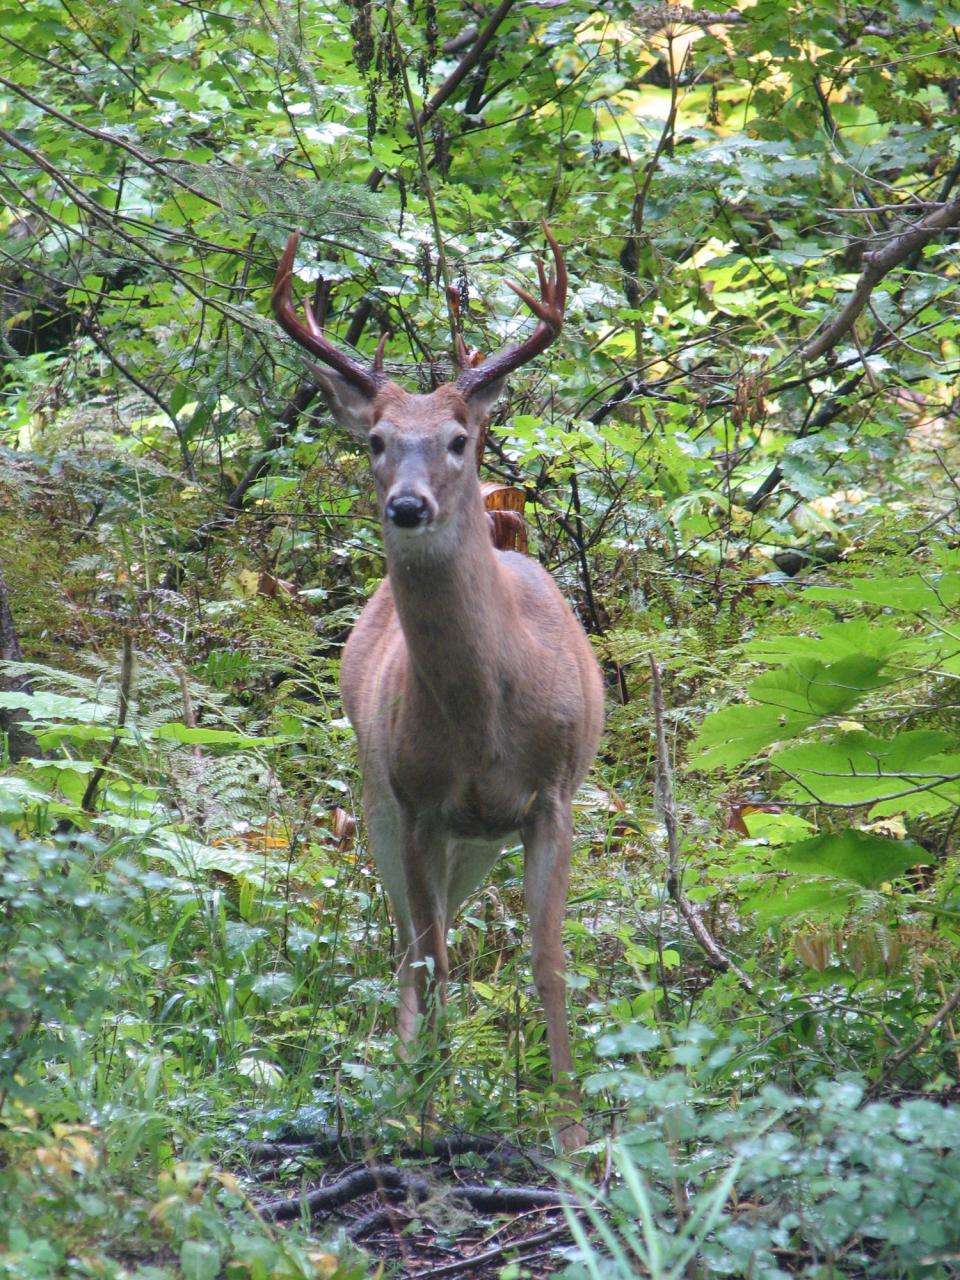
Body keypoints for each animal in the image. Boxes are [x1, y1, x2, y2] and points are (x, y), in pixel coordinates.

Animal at [272, 222, 601, 1152]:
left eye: (459, 438)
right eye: (376, 440)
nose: (409, 506)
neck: (484, 720)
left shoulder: (551, 796)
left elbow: (548, 960)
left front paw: (571, 1130)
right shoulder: (417, 800)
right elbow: (428, 952)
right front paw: (424, 1111)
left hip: (477, 840)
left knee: (442, 926)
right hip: (382, 803)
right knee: (413, 942)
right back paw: (413, 1078)